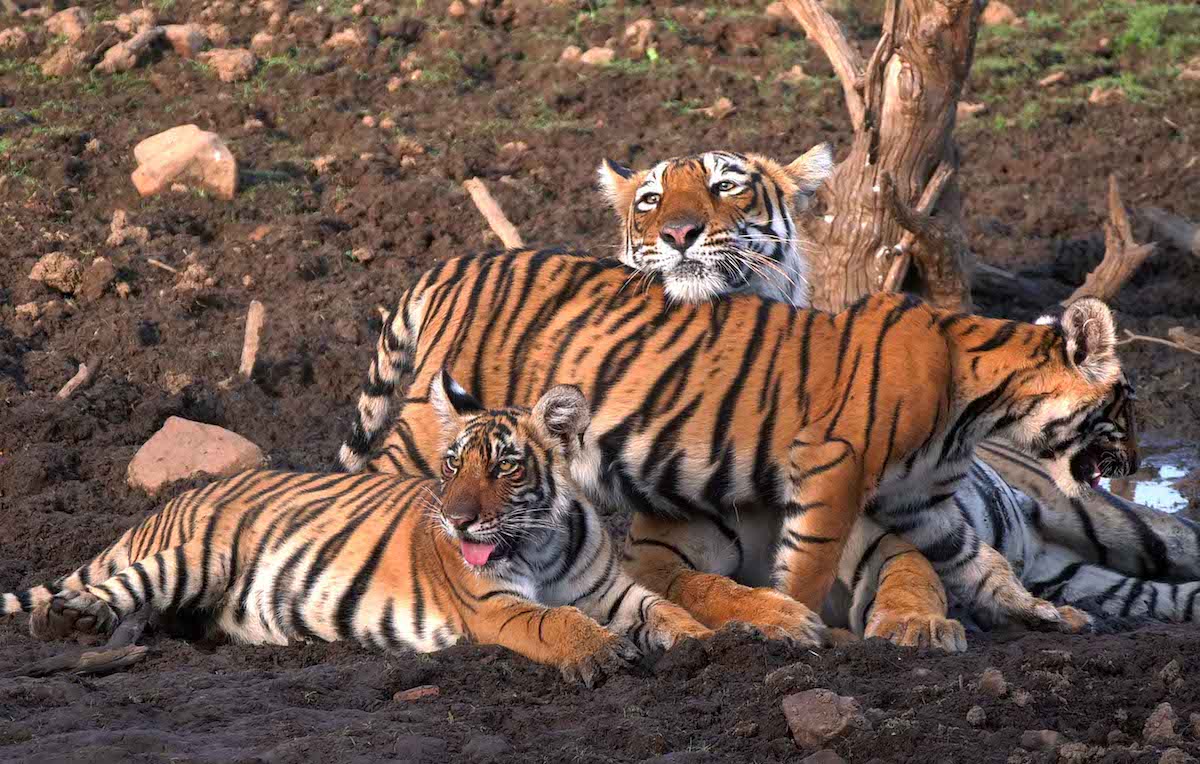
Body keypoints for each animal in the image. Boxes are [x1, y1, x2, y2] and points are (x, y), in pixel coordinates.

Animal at [1, 373, 711, 687]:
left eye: (506, 466)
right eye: (452, 465)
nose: (457, 518)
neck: (541, 543)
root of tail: (169, 504)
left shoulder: (609, 590)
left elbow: (663, 609)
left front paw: (710, 641)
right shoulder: (494, 605)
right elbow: (554, 621)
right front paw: (601, 653)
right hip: (193, 556)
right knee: (105, 592)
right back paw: (70, 623)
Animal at [336, 249, 1138, 650]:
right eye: (1127, 404)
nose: (1135, 462)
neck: (979, 407)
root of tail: (453, 264)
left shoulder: (923, 505)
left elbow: (982, 561)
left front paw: (1042, 614)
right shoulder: (832, 465)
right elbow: (806, 567)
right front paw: (801, 630)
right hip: (427, 432)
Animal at [593, 149, 1198, 631]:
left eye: (724, 186)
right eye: (650, 200)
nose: (676, 234)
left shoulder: (869, 523)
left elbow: (905, 572)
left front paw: (913, 625)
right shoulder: (654, 553)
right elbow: (704, 588)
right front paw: (773, 617)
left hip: (1112, 520)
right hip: (1081, 573)